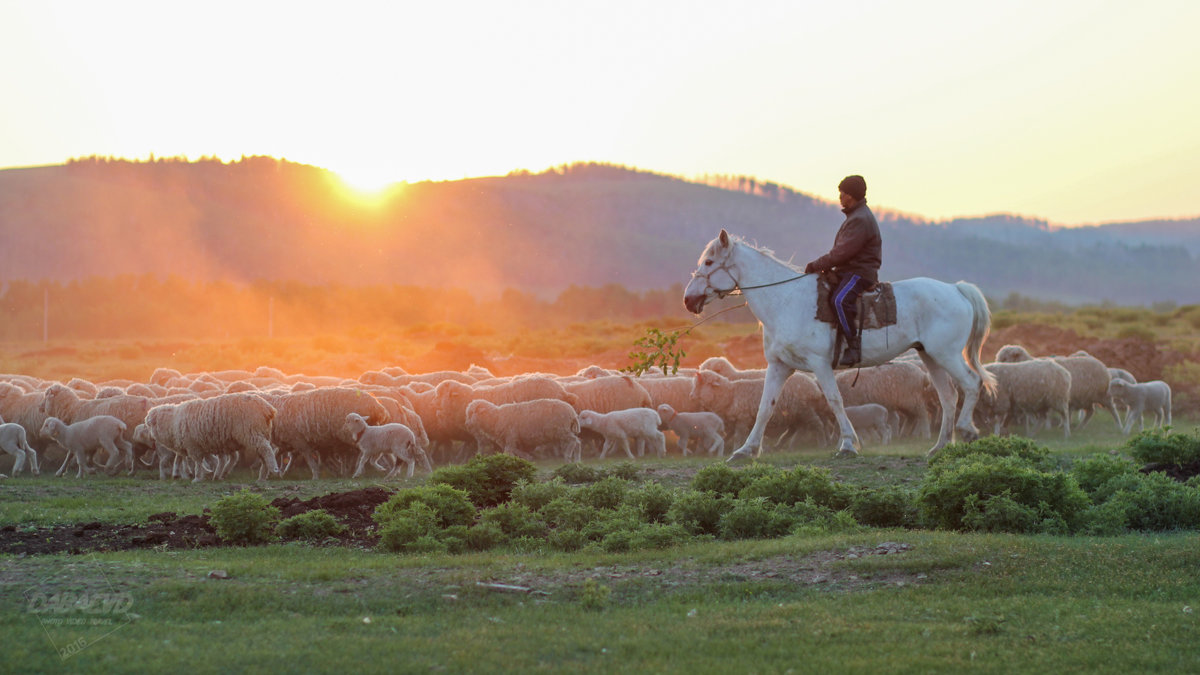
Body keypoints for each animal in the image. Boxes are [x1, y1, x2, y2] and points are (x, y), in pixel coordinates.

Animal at [686, 229, 993, 456]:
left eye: (709, 262)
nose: (689, 300)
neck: (786, 301)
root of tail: (956, 289)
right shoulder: (779, 365)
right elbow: (765, 406)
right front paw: (746, 450)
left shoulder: (819, 364)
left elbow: (835, 400)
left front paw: (847, 444)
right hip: (930, 356)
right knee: (948, 396)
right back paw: (940, 446)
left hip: (947, 354)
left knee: (971, 383)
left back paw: (967, 431)